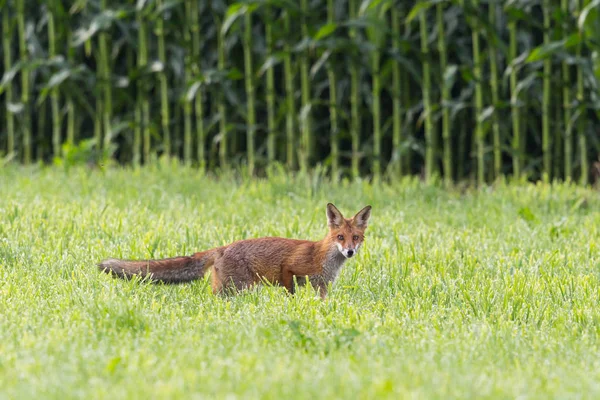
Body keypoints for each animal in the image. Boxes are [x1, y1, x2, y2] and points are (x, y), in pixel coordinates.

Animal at [98, 203, 370, 296]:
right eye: (340, 237)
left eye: (355, 238)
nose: (349, 252)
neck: (323, 257)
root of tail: (223, 247)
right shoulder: (289, 268)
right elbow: (290, 293)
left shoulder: (322, 287)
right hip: (237, 288)